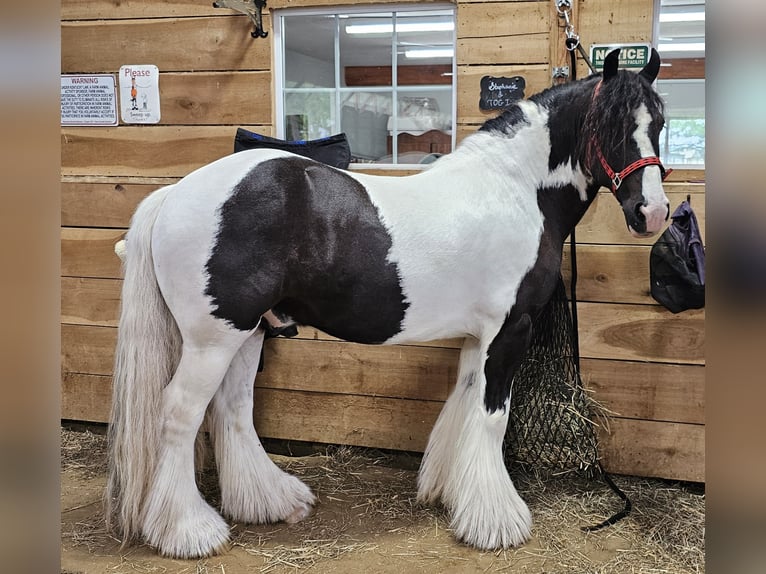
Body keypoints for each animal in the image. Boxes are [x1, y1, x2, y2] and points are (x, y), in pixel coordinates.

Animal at [106, 47, 672, 560]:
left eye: (660, 123)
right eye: (612, 123)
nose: (652, 212)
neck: (514, 191)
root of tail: (176, 194)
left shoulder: (480, 336)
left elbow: (464, 404)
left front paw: (452, 495)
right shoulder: (510, 330)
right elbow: (492, 417)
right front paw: (497, 522)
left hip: (249, 332)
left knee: (233, 408)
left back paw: (270, 502)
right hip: (213, 338)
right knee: (180, 414)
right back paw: (188, 532)